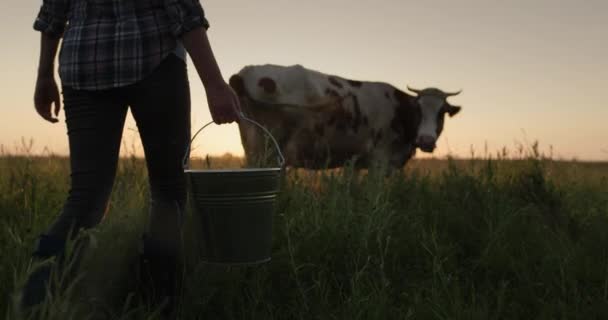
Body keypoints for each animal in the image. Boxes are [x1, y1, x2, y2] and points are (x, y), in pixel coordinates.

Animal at [228, 64, 460, 169]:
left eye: (442, 112)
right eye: (418, 109)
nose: (426, 140)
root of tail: (247, 71)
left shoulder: (356, 162)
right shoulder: (380, 160)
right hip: (266, 148)